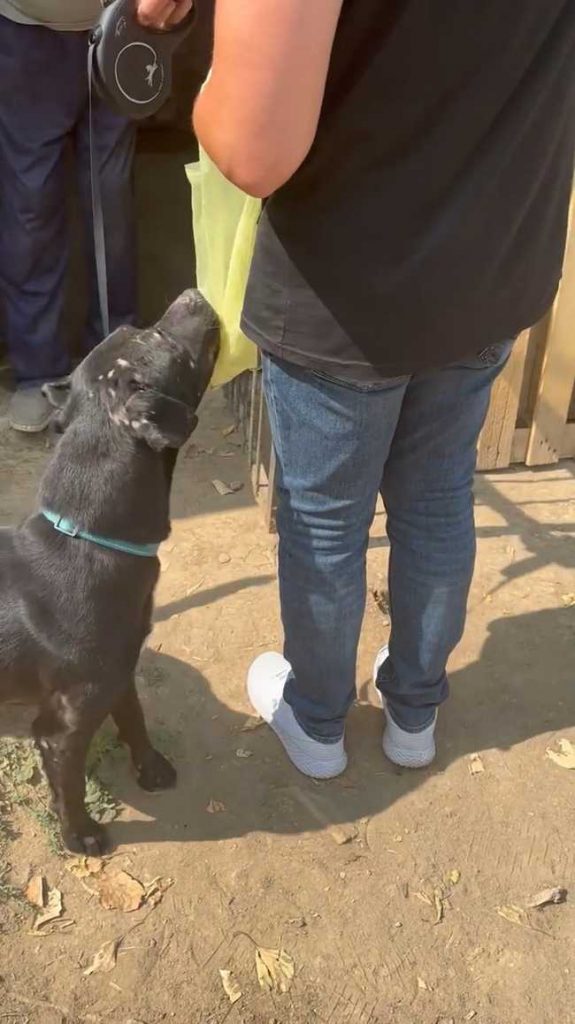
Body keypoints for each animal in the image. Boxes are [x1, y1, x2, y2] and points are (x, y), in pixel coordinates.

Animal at [0, 290, 219, 854]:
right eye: (155, 335)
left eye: (132, 328)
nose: (193, 294)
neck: (88, 540)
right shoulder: (63, 726)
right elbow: (71, 785)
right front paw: (81, 837)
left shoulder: (120, 671)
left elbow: (135, 719)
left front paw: (152, 769)